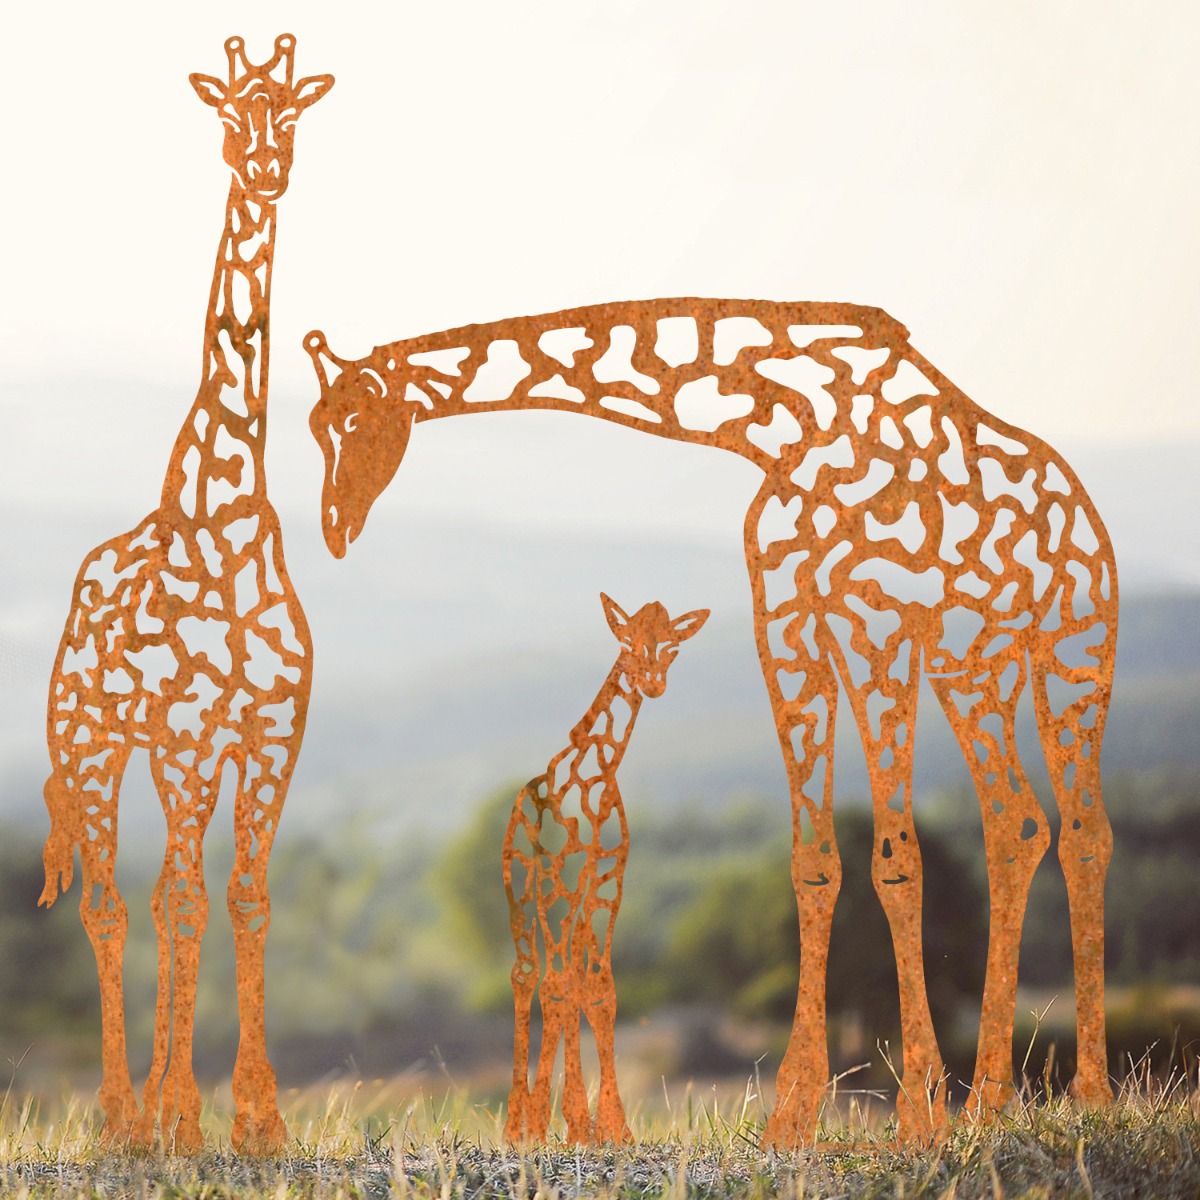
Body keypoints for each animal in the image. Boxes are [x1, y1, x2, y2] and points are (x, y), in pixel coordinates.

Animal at [39, 35, 332, 1153]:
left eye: (291, 114)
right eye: (226, 115)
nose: (265, 169)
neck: (227, 519)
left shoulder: (268, 733)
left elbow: (242, 899)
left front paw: (257, 1120)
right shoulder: (189, 738)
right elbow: (181, 901)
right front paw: (184, 1115)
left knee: (161, 897)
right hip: (90, 740)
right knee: (112, 905)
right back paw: (124, 1117)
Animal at [503, 594, 709, 1145]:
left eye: (672, 646)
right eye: (629, 641)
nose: (653, 683)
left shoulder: (606, 882)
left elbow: (598, 990)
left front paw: (610, 1129)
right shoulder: (561, 884)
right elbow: (560, 988)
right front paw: (557, 1125)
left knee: (560, 978)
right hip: (525, 893)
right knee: (529, 977)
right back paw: (518, 1126)